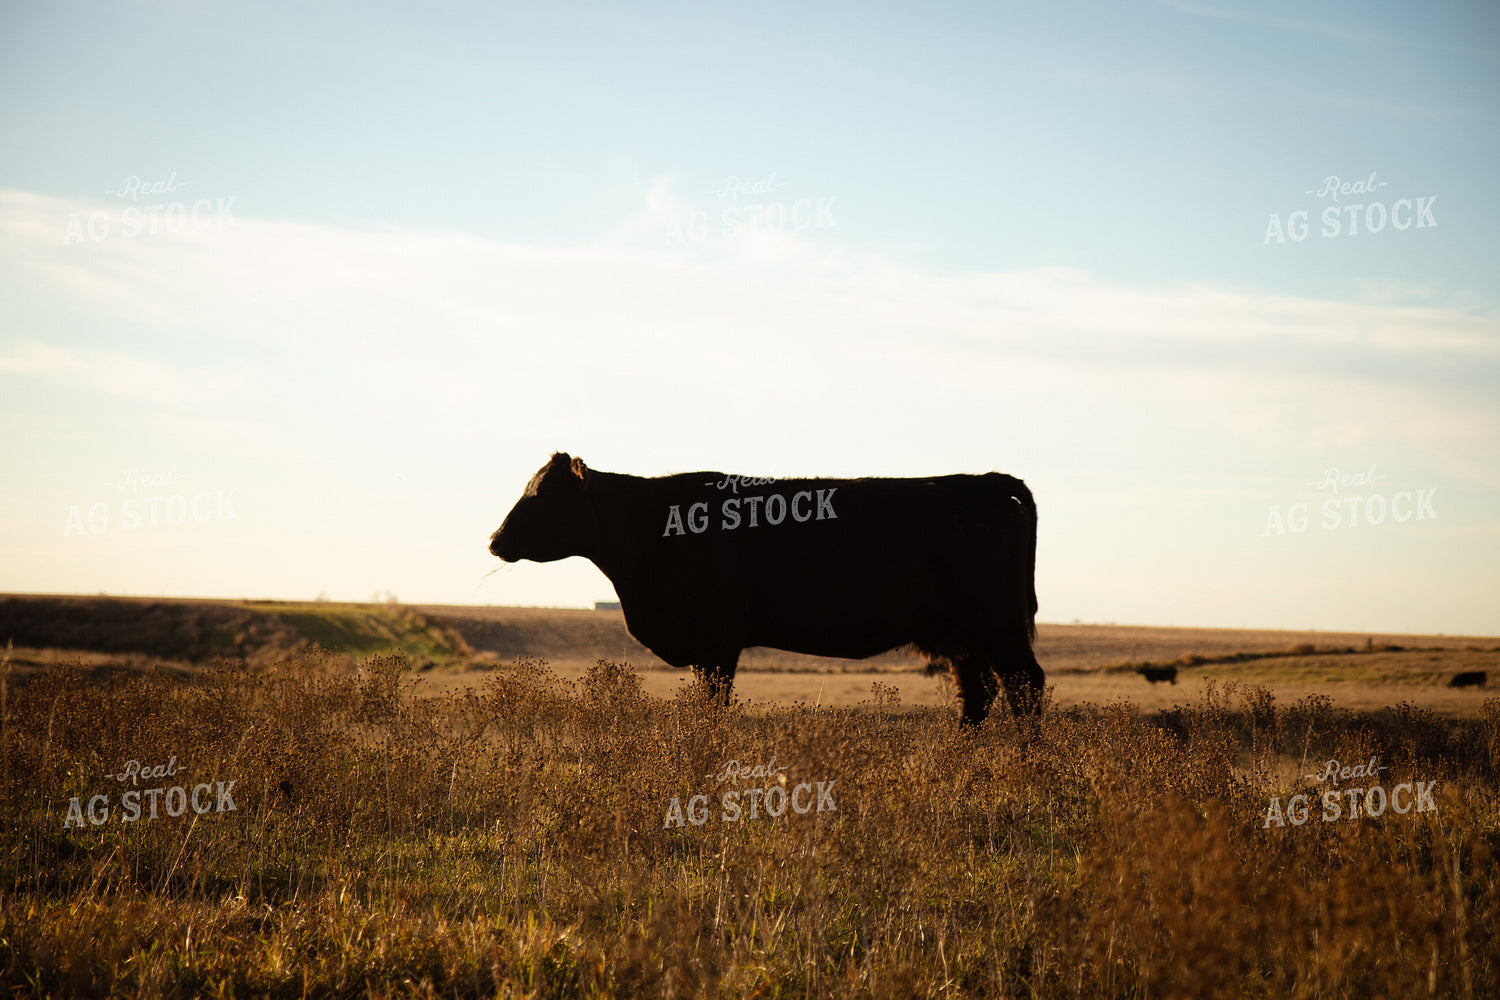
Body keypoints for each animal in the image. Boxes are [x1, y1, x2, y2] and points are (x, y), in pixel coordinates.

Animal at [488, 453, 1044, 725]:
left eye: (542, 497)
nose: (495, 541)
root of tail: (983, 481)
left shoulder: (716, 643)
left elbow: (714, 706)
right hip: (962, 638)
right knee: (979, 692)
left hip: (1000, 627)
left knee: (1024, 685)